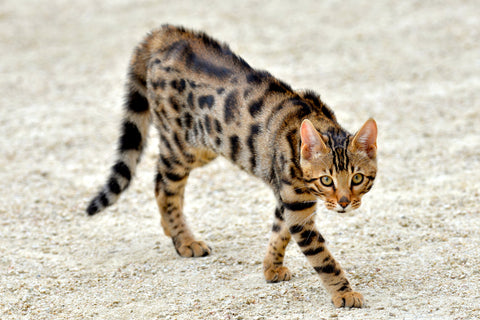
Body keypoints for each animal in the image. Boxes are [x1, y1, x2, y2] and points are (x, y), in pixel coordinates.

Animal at [87, 25, 378, 308]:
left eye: (357, 178)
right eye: (326, 180)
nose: (343, 202)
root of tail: (166, 33)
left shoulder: (287, 199)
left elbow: (278, 232)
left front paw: (271, 267)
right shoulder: (297, 208)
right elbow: (323, 258)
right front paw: (344, 293)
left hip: (201, 148)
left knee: (161, 181)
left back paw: (173, 231)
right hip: (181, 146)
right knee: (164, 188)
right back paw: (185, 240)